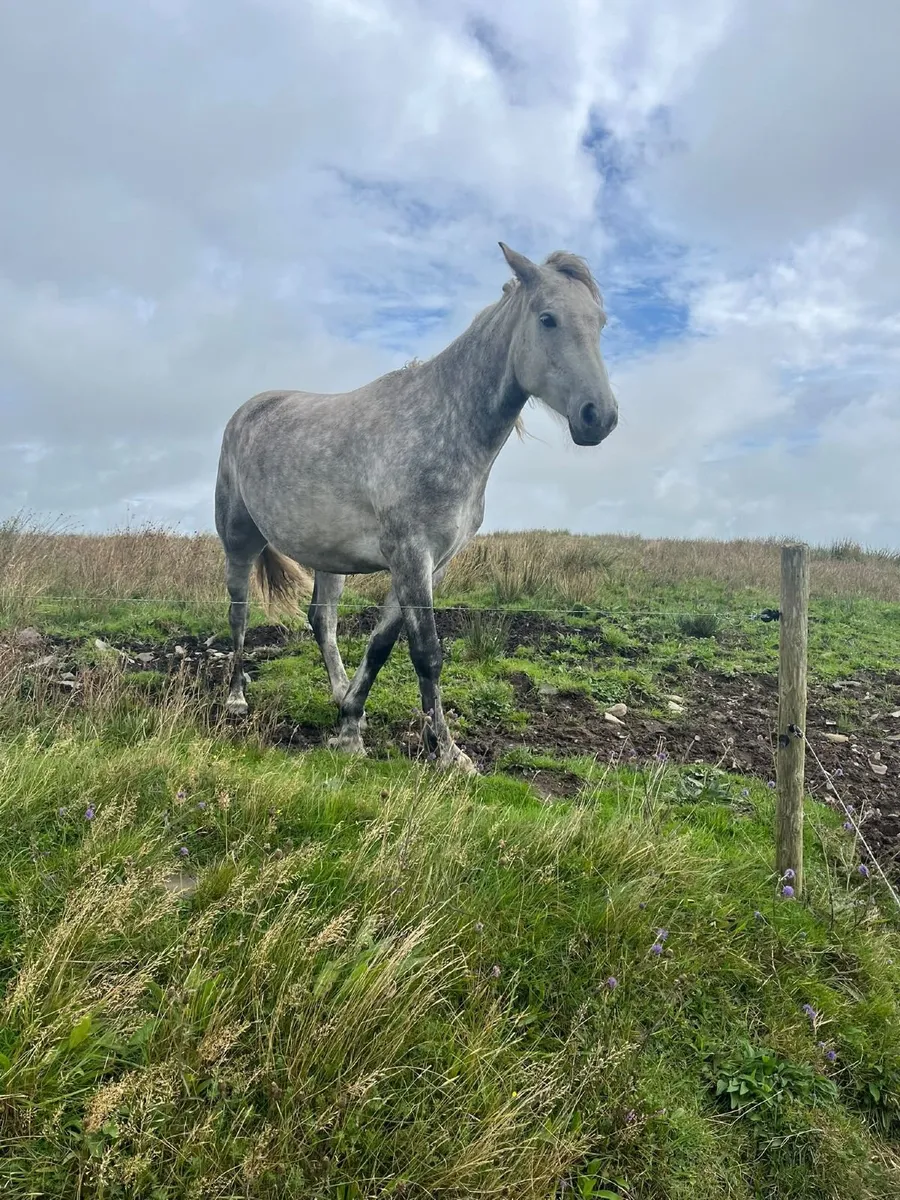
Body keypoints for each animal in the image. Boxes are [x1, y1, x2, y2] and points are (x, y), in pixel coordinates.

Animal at [214, 242, 618, 773]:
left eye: (600, 322)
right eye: (548, 318)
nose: (600, 417)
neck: (444, 423)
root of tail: (247, 409)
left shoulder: (433, 562)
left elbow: (381, 645)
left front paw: (350, 726)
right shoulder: (411, 556)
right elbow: (427, 652)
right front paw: (447, 753)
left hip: (329, 560)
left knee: (322, 622)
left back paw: (338, 692)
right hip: (239, 540)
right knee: (238, 613)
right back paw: (236, 697)